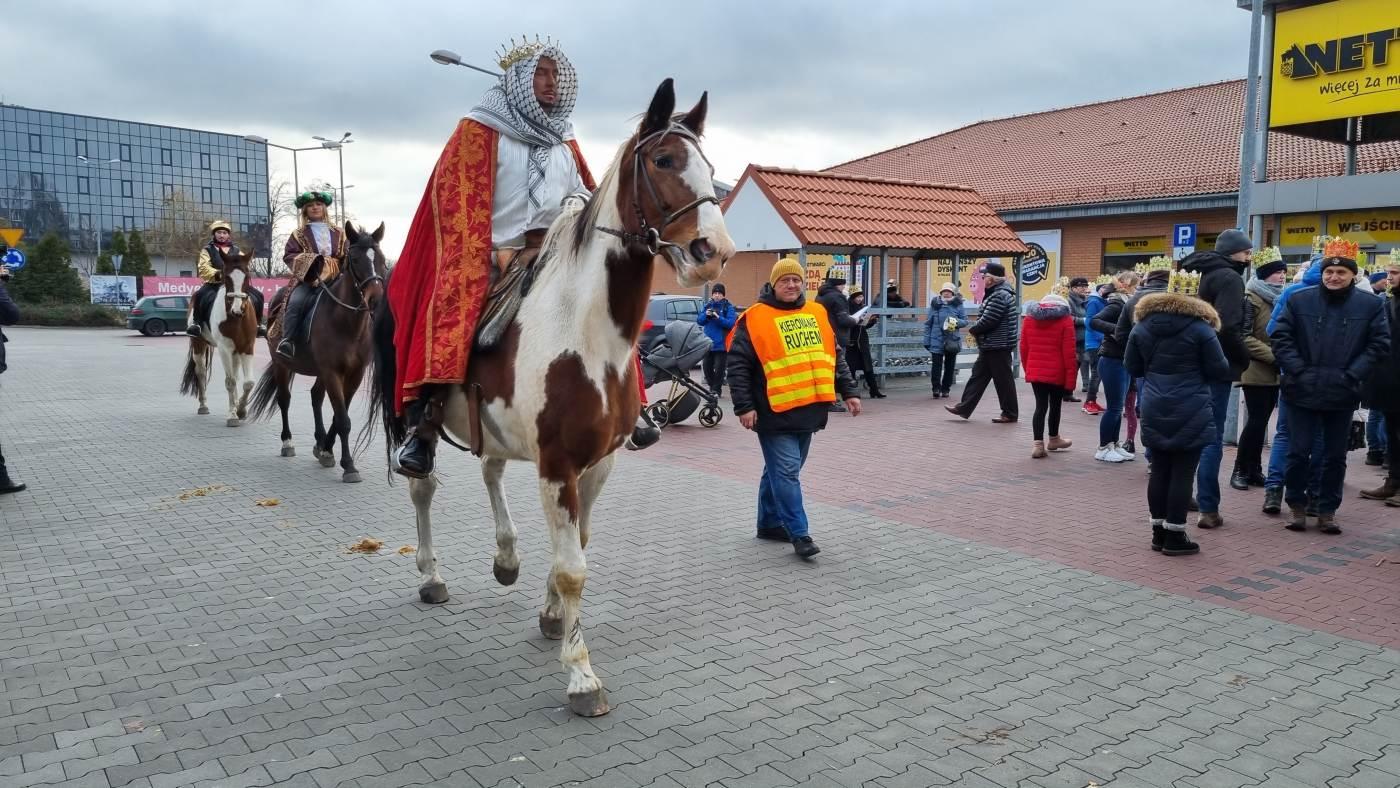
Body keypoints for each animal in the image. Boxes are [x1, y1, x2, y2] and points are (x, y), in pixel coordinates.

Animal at [180, 251, 260, 425]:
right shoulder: (224, 349)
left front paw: (240, 410)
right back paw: (203, 406)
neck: (236, 319)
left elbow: (248, 382)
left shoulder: (247, 348)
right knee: (201, 372)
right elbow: (230, 382)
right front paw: (233, 416)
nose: (237, 310)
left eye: (246, 276)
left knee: (236, 375)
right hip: (198, 344)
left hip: (236, 352)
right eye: (226, 277)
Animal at [247, 218, 389, 484]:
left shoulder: (354, 374)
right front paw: (348, 465)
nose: (376, 300)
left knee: (315, 397)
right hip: (282, 364)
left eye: (381, 259)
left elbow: (338, 414)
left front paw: (327, 449)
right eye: (355, 260)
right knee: (284, 399)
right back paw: (287, 443)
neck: (346, 324)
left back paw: (320, 441)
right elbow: (342, 418)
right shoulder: (332, 371)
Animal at [366, 78, 739, 716]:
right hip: (411, 413)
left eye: (711, 168)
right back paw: (431, 576)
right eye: (664, 160)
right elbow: (572, 569)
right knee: (423, 487)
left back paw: (506, 556)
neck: (586, 335)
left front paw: (549, 616)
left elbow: (578, 547)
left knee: (490, 469)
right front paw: (582, 675)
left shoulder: (598, 463)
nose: (712, 252)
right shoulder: (557, 462)